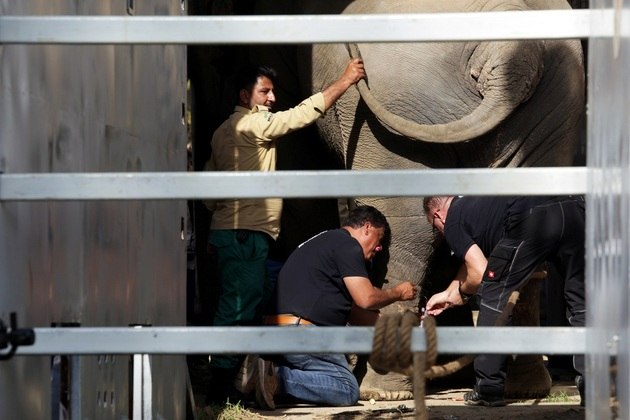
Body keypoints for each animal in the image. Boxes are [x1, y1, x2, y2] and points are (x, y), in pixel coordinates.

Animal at [191, 0, 588, 402]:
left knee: (405, 226)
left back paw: (382, 389)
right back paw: (521, 386)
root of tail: (509, 56)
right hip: (555, 104)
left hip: (402, 103)